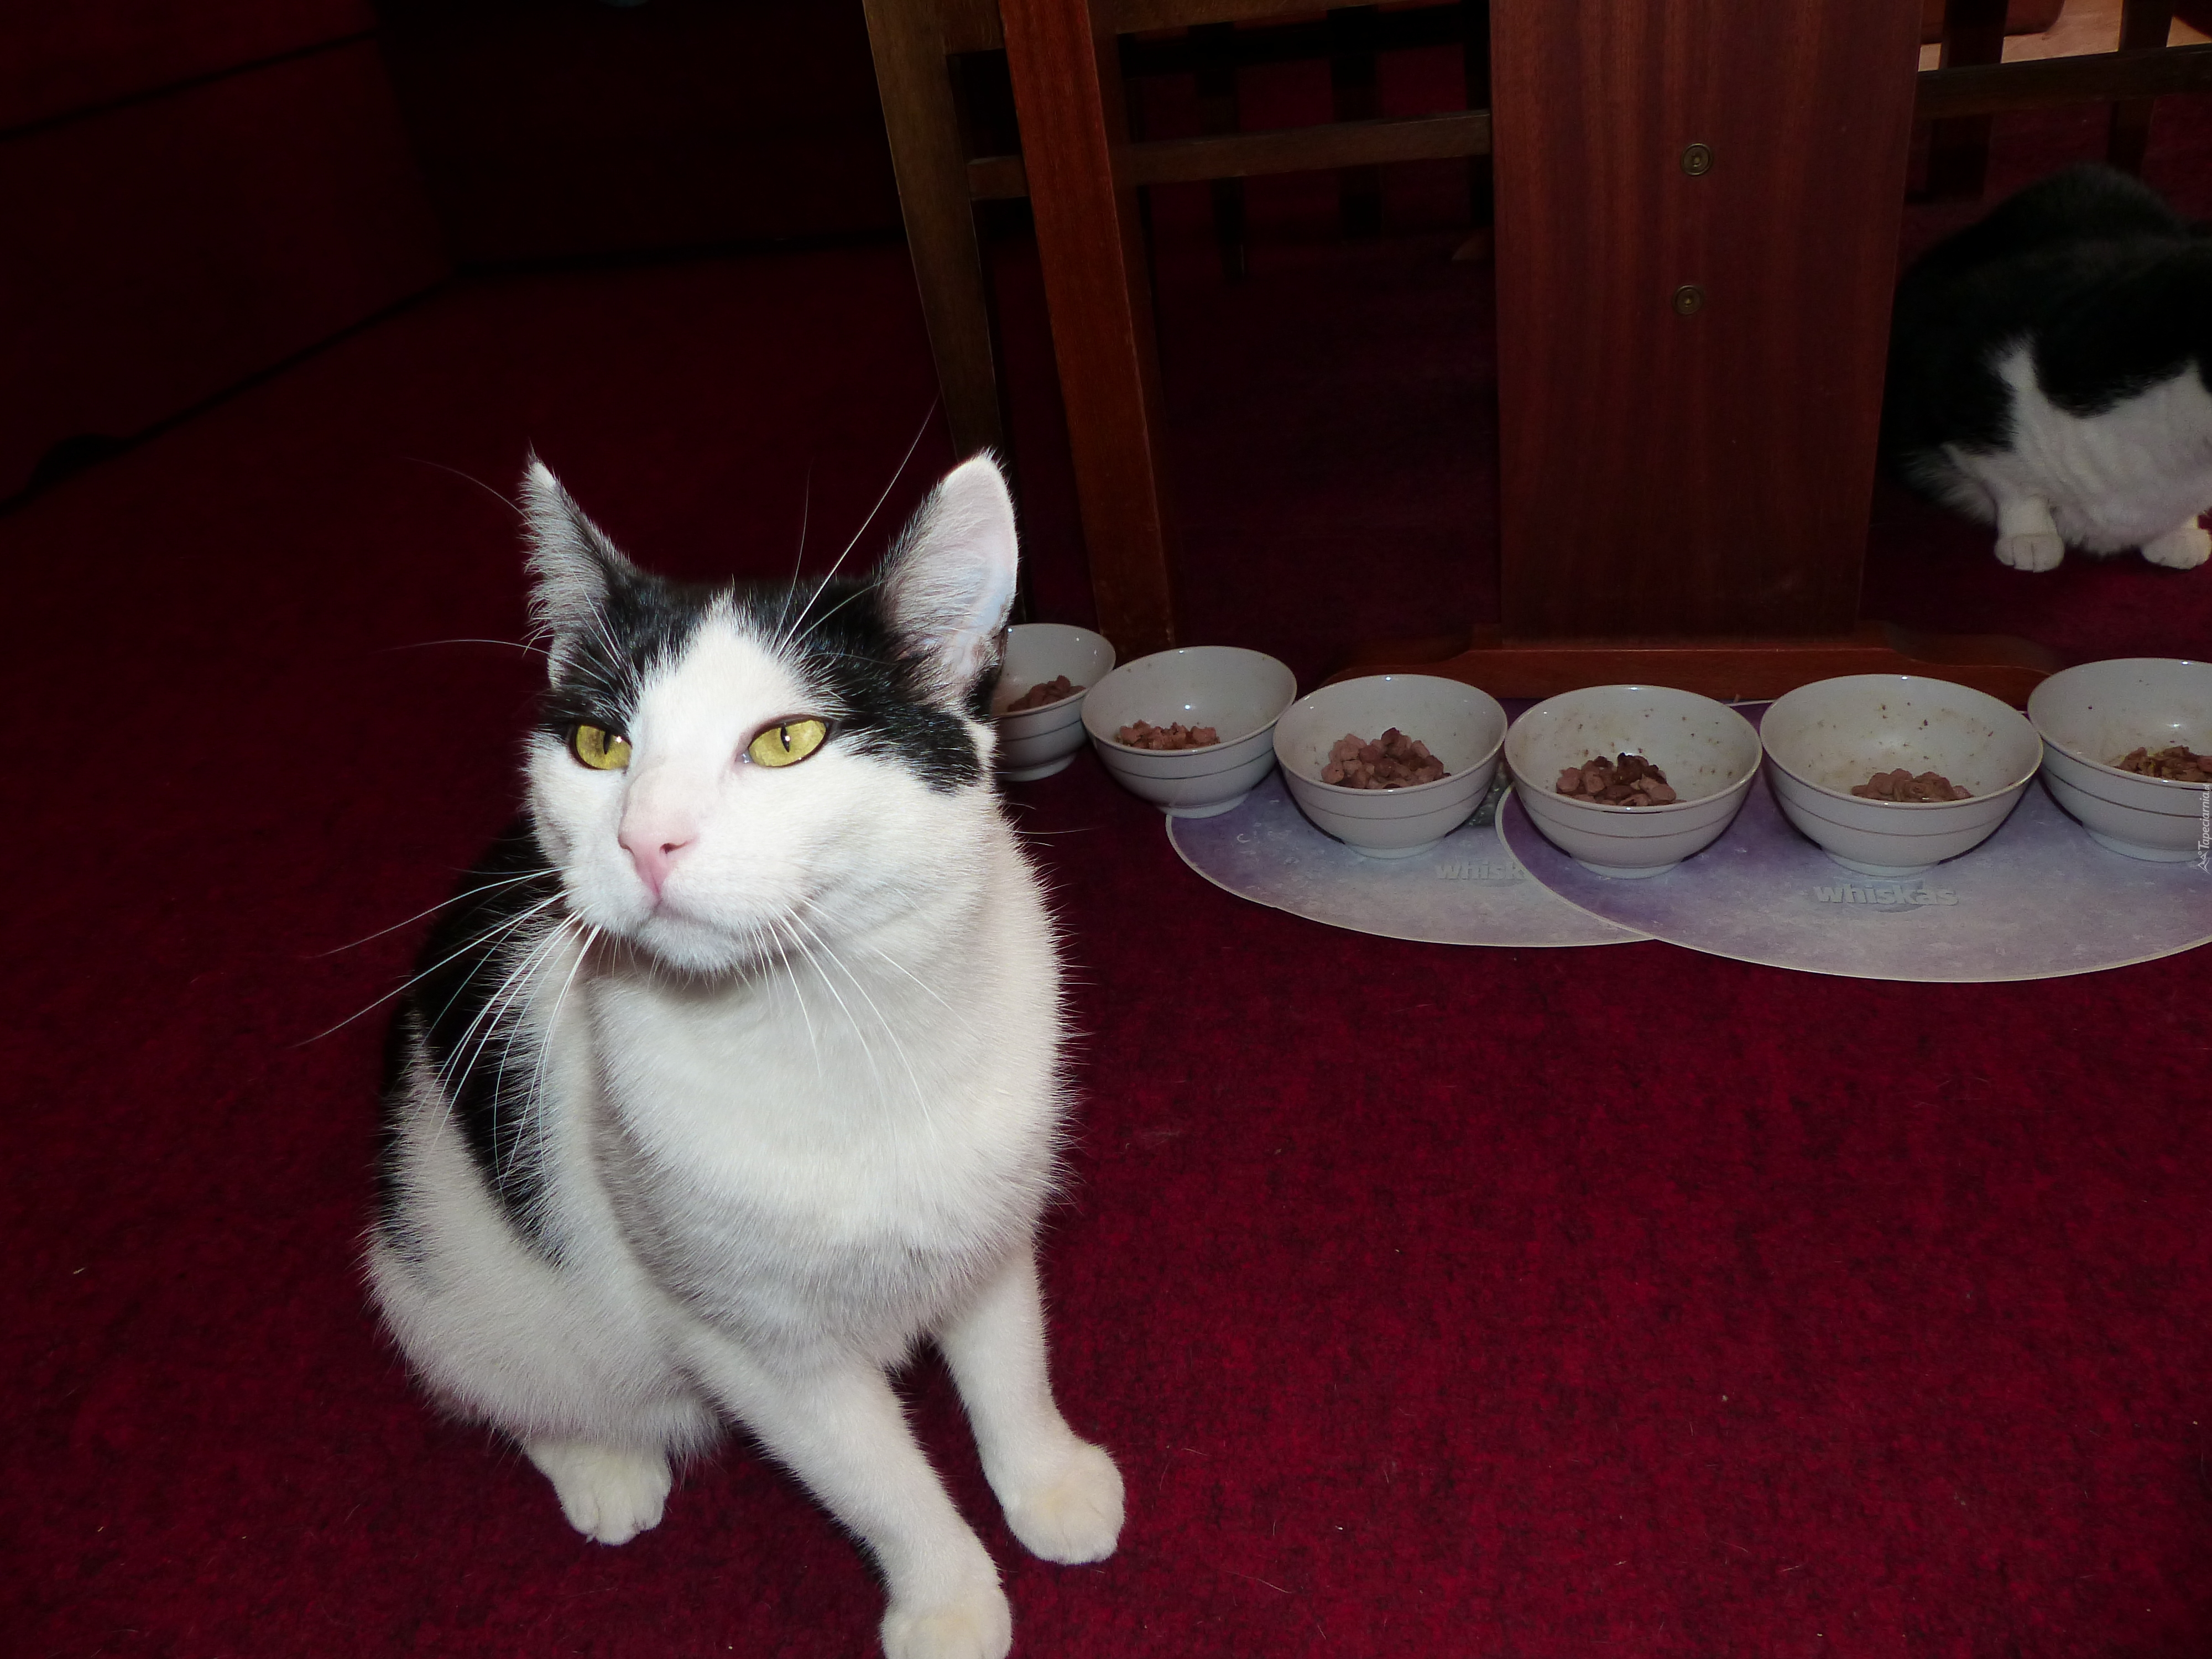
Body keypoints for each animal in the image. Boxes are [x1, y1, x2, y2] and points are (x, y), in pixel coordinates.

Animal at [365, 454, 1123, 1659]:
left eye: (784, 741)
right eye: (602, 745)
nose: (644, 839)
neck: (834, 1022)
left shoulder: (990, 1224)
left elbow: (1010, 1361)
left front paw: (1046, 1482)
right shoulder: (750, 1344)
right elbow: (876, 1479)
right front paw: (948, 1598)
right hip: (437, 1276)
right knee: (508, 1384)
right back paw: (602, 1464)